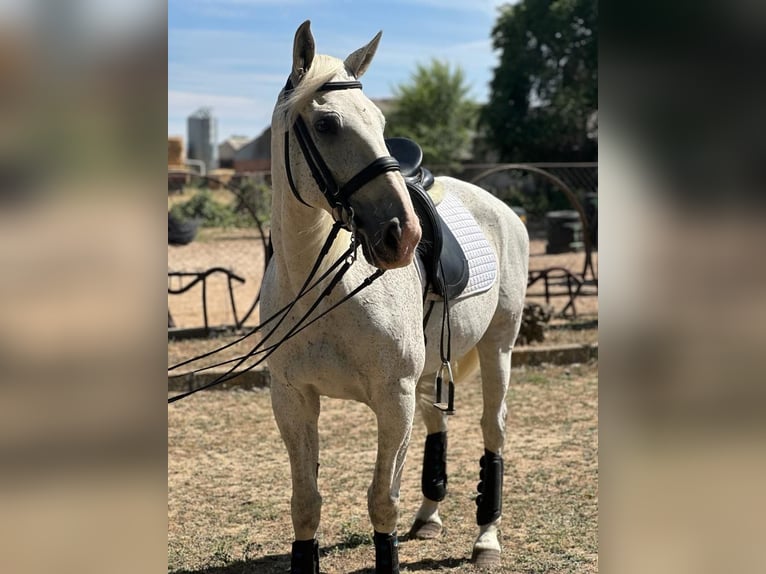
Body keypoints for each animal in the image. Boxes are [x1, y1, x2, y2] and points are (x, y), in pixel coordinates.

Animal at [260, 21, 532, 574]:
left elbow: (382, 500)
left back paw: (486, 538)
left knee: (492, 432)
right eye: (327, 125)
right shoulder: (292, 399)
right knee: (436, 428)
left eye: (381, 121)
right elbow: (306, 503)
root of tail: (504, 211)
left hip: (497, 349)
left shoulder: (393, 396)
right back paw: (429, 516)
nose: (403, 235)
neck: (322, 290)